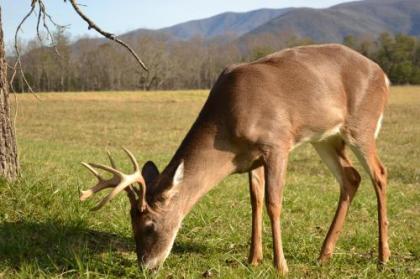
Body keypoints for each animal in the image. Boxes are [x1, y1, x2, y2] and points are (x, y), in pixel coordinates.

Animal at [79, 44, 390, 274]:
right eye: (130, 223)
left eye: (149, 226)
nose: (145, 266)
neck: (227, 127)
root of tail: (383, 75)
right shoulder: (252, 158)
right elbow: (255, 201)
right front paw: (254, 258)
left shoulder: (277, 142)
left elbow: (273, 203)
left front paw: (281, 265)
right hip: (325, 138)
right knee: (351, 177)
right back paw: (324, 254)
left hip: (361, 126)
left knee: (380, 173)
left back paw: (383, 256)